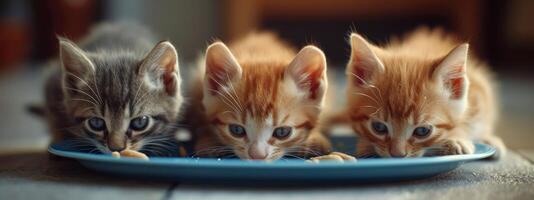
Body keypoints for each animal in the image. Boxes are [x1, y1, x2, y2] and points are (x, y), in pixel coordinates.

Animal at [186, 33, 332, 161]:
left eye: (282, 132)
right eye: (236, 130)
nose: (257, 156)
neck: (263, 55)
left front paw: (315, 140)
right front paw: (208, 142)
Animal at [344, 28, 506, 159]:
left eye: (422, 131)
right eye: (378, 127)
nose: (397, 155)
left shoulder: (479, 94)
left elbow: (467, 119)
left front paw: (457, 137)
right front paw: (365, 145)